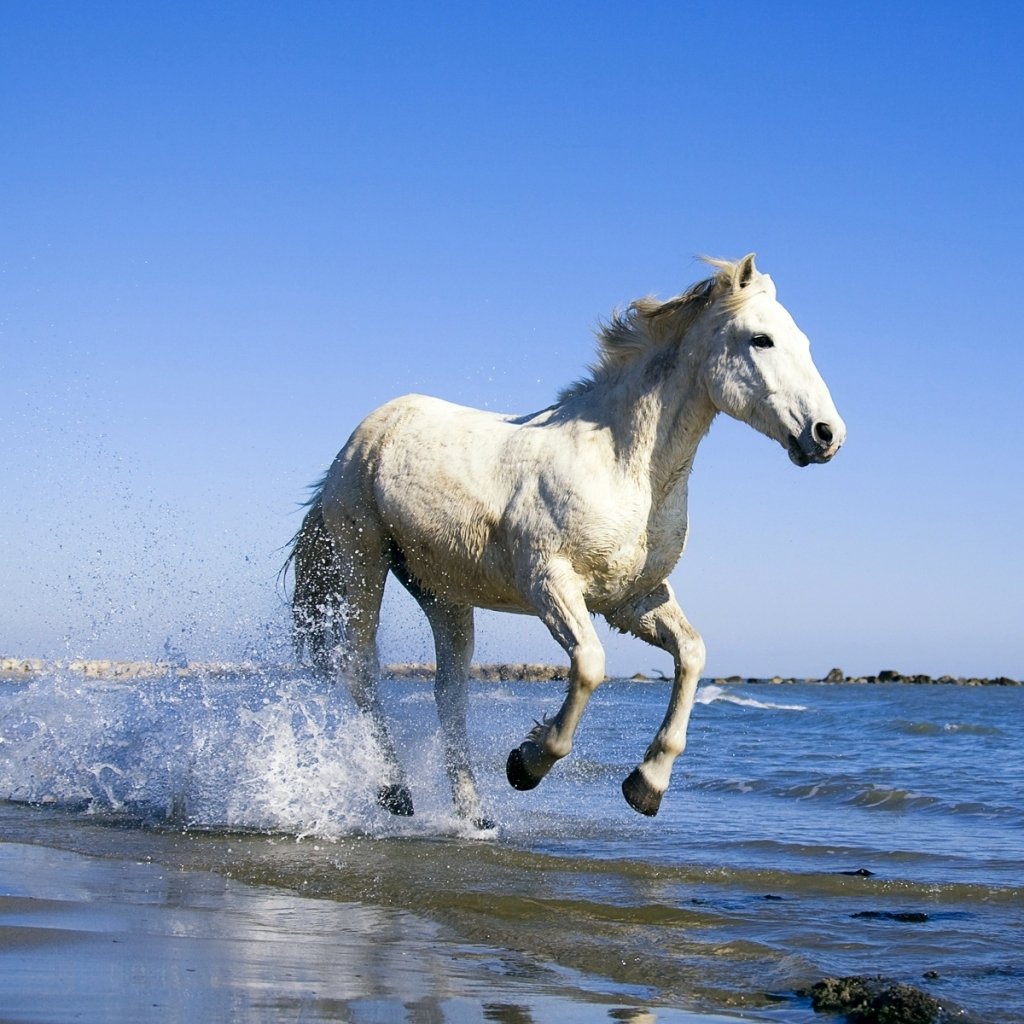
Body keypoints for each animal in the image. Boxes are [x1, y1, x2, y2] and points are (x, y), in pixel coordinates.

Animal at [286, 254, 845, 829]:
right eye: (761, 339)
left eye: (802, 341)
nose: (827, 434)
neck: (623, 466)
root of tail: (365, 434)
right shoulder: (550, 582)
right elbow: (591, 665)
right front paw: (526, 764)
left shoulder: (633, 599)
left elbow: (692, 654)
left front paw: (647, 786)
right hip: (364, 558)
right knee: (360, 668)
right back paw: (395, 791)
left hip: (443, 593)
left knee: (449, 694)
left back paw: (476, 815)